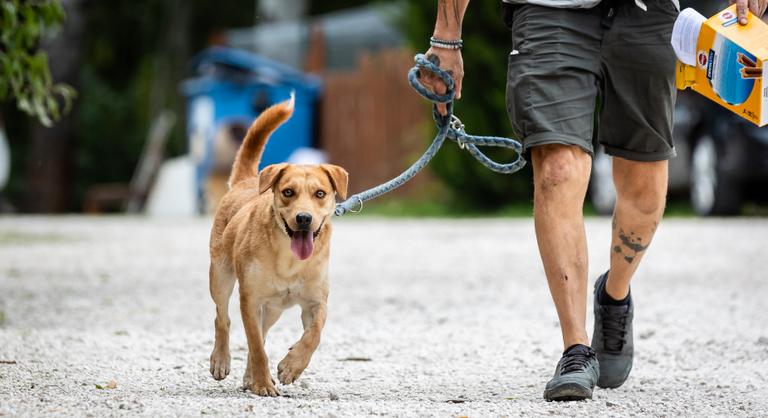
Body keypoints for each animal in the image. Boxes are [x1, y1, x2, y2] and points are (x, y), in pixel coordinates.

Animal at [206, 94, 346, 396]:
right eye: (288, 192)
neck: (289, 261)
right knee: (223, 319)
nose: (304, 219)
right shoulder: (250, 300)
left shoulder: (316, 302)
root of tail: (247, 180)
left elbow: (314, 334)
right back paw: (222, 361)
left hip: (273, 309)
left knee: (261, 332)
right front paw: (262, 383)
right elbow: (257, 346)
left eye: (320, 193)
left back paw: (250, 376)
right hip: (221, 277)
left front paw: (292, 366)